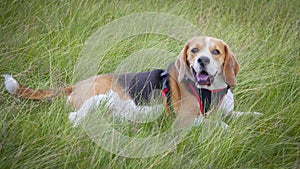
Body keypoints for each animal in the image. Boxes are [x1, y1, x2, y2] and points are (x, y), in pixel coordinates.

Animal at [2, 36, 260, 127]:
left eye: (215, 51)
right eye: (194, 50)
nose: (202, 60)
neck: (210, 90)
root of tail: (77, 84)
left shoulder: (226, 111)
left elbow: (236, 115)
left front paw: (255, 117)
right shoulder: (185, 120)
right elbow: (216, 124)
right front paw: (223, 128)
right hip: (102, 97)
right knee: (75, 117)